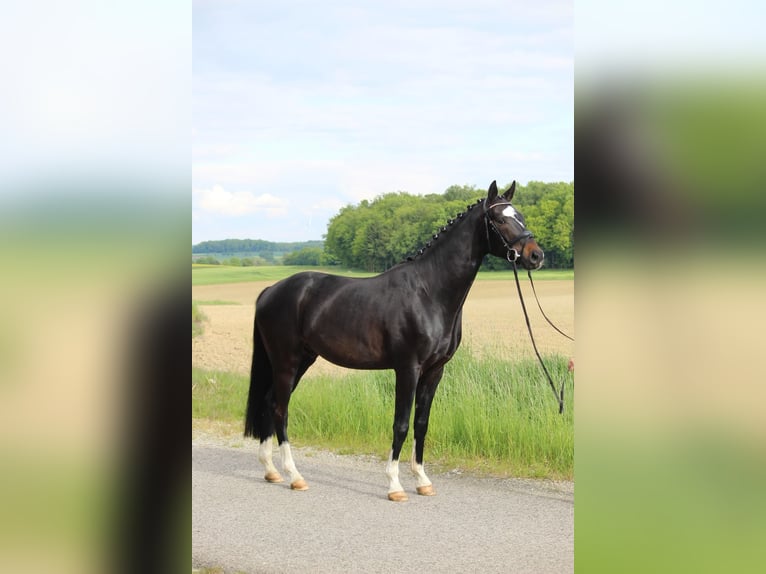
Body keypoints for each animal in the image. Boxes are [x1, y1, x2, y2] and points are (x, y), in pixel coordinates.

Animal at [244, 180, 544, 501]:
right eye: (500, 219)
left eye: (520, 216)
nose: (536, 256)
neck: (429, 292)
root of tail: (271, 290)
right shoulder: (407, 368)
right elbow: (400, 424)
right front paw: (394, 485)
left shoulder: (435, 371)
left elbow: (421, 424)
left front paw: (423, 481)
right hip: (287, 361)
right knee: (280, 409)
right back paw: (294, 475)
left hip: (302, 360)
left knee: (269, 402)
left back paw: (271, 470)